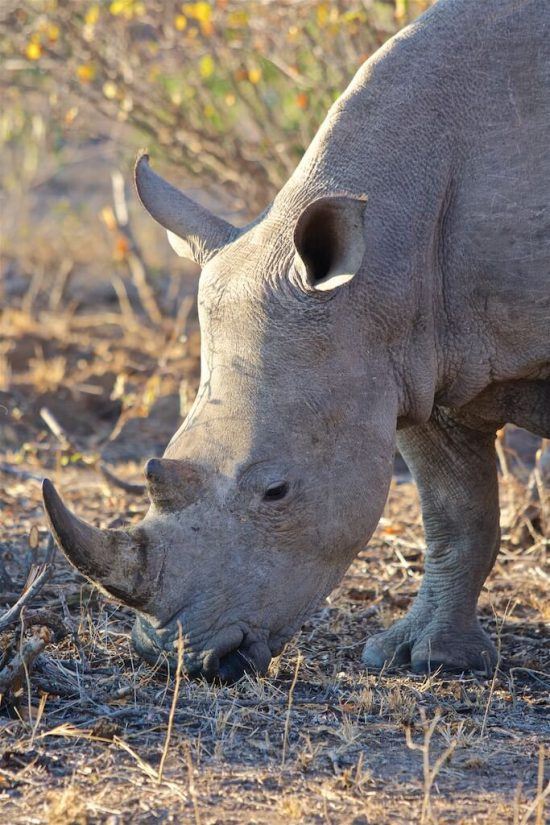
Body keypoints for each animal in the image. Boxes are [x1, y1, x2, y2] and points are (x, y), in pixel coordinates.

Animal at [43, 0, 550, 684]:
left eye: (276, 491)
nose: (176, 658)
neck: (385, 254)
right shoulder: (417, 356)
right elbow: (455, 512)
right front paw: (426, 657)